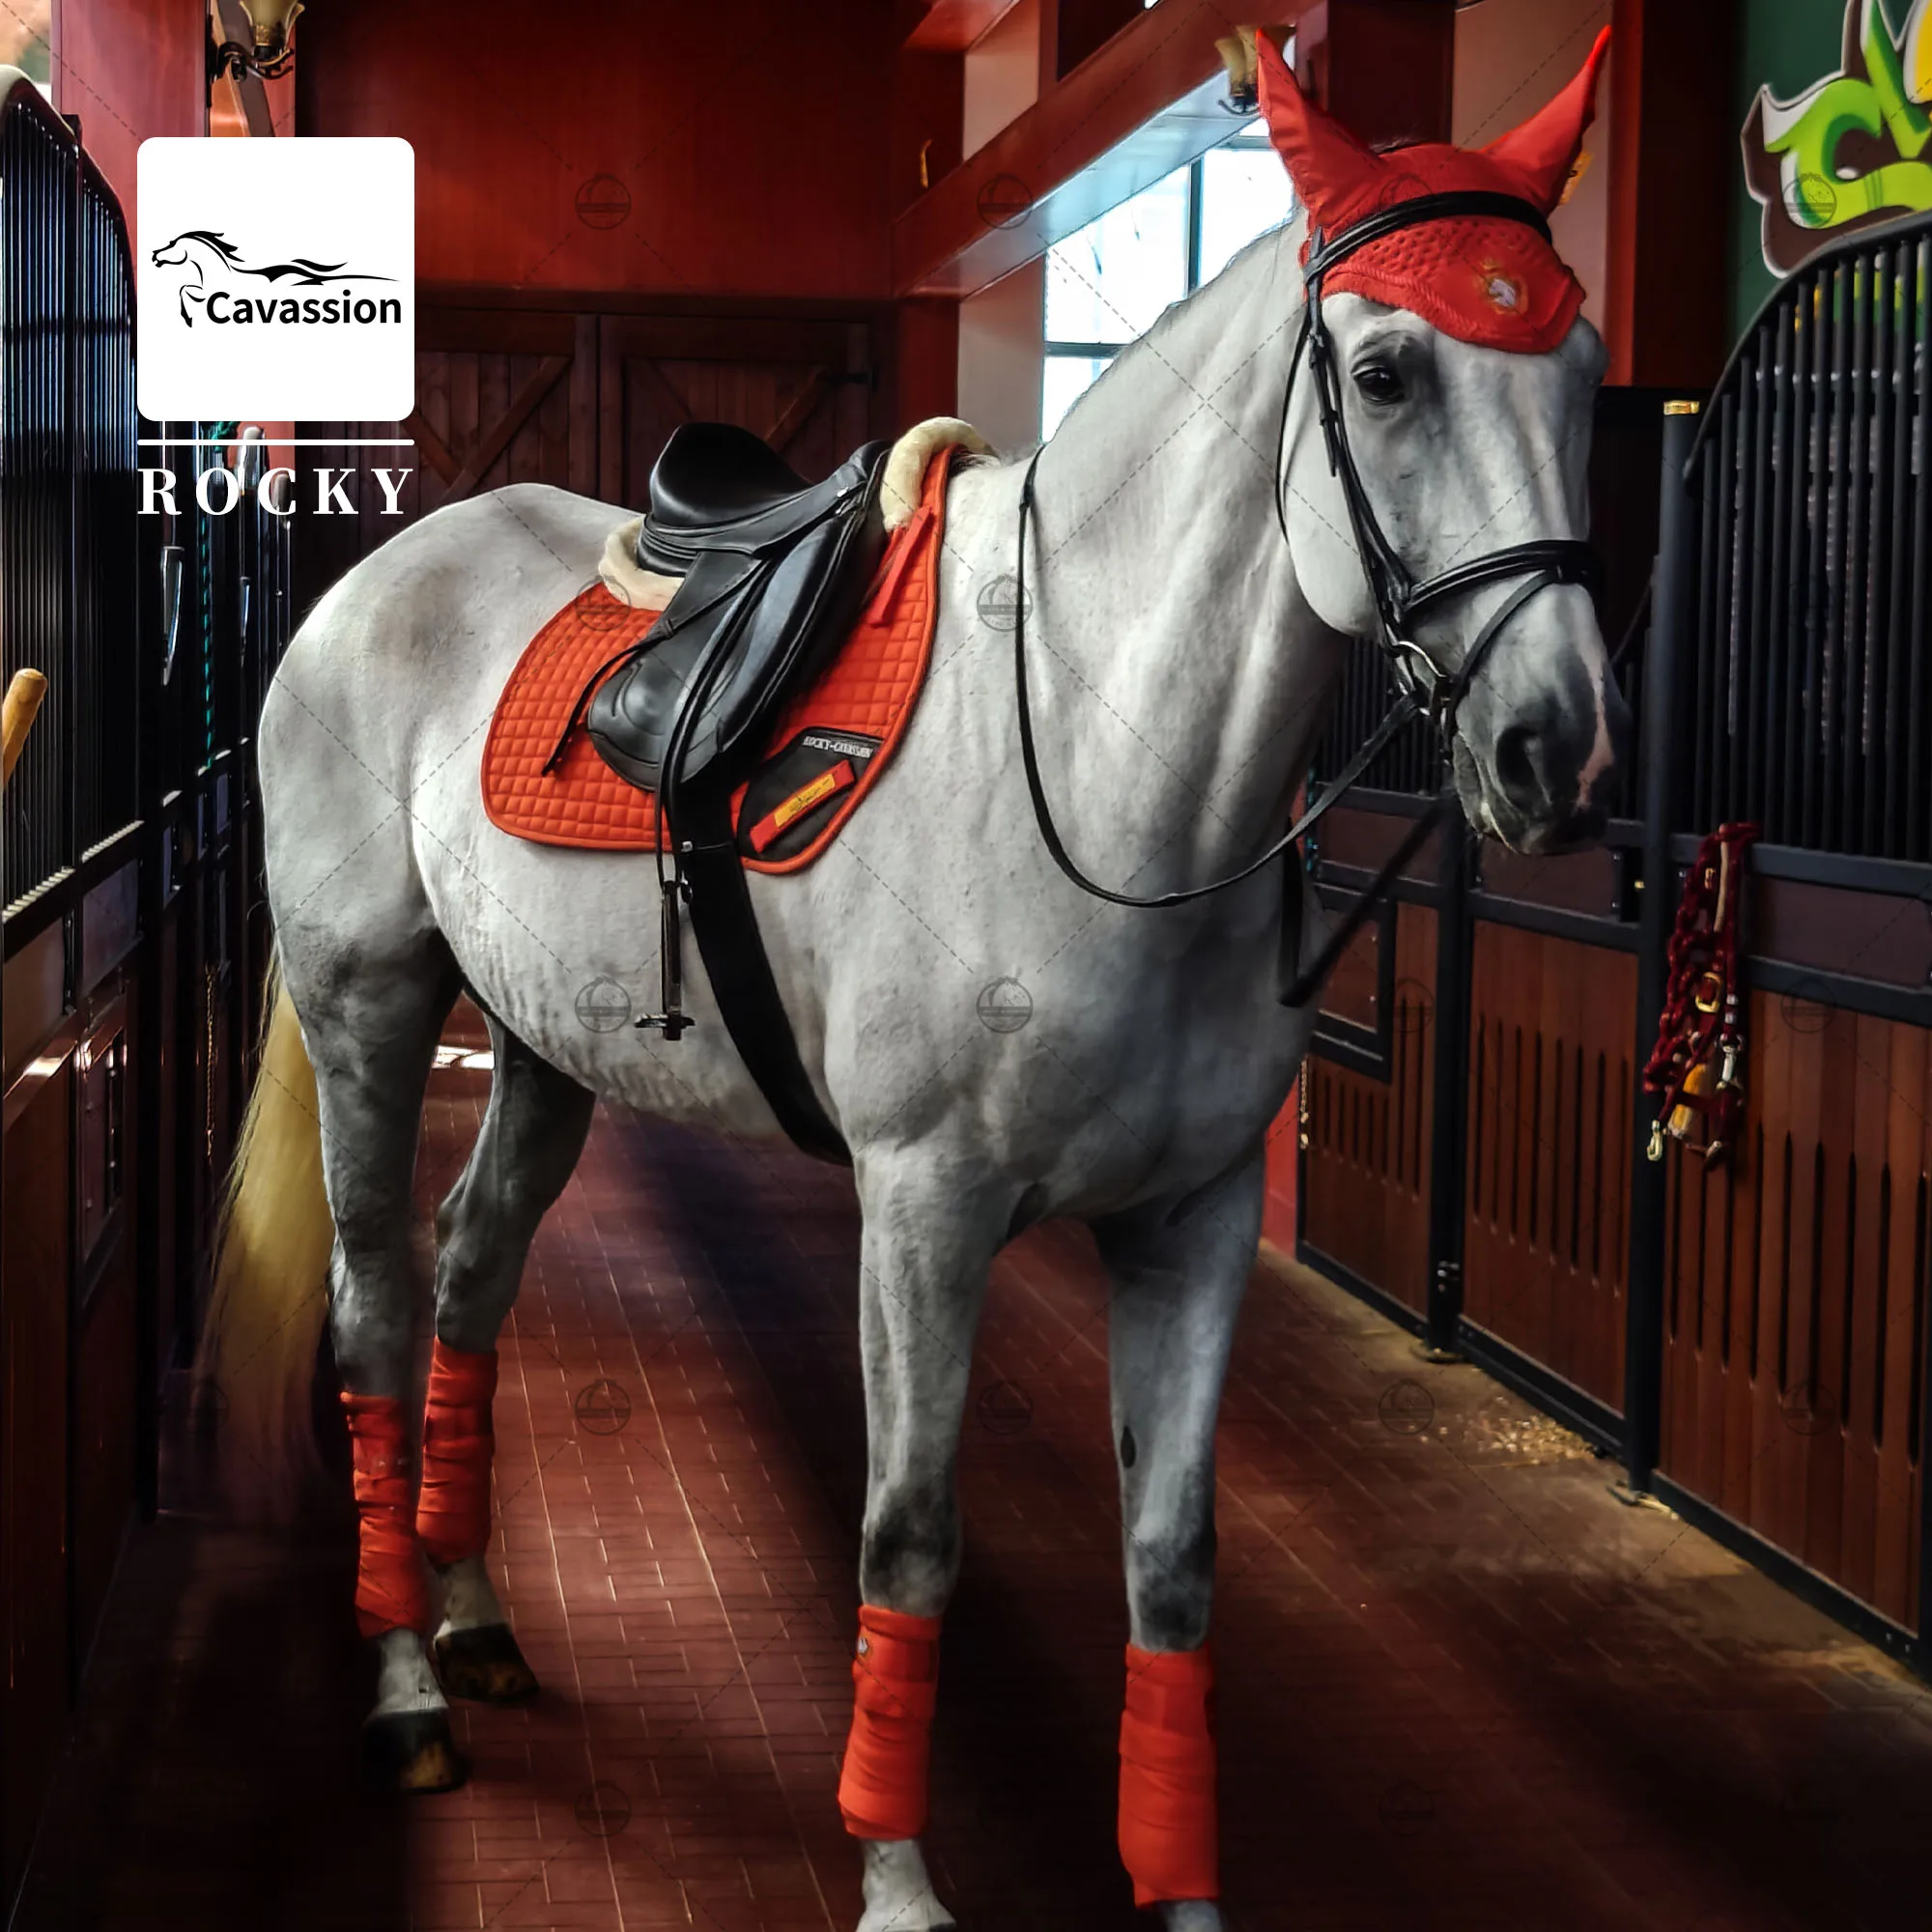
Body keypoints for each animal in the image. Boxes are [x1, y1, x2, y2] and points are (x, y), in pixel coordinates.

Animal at [201, 37, 1623, 1931]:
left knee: (472, 1281)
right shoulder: (924, 1215)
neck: (1099, 761)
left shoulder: (1193, 1222)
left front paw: (1180, 1890)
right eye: (1388, 371)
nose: (1557, 751)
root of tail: (366, 587)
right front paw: (894, 1880)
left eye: (1587, 372)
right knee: (372, 1311)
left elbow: (1173, 1567)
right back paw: (408, 1685)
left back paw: (479, 1618)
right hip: (365, 1011)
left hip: (542, 1057)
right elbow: (911, 1537)